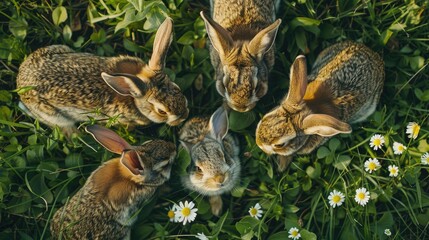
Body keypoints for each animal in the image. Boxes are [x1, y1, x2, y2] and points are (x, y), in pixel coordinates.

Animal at [16, 17, 187, 137]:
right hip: (54, 115)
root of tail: (20, 82)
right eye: (161, 111)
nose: (184, 116)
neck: (134, 99)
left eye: (178, 88)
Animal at [254, 42, 384, 172]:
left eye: (280, 145)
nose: (258, 144)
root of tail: (374, 56)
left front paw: (282, 164)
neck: (311, 107)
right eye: (264, 118)